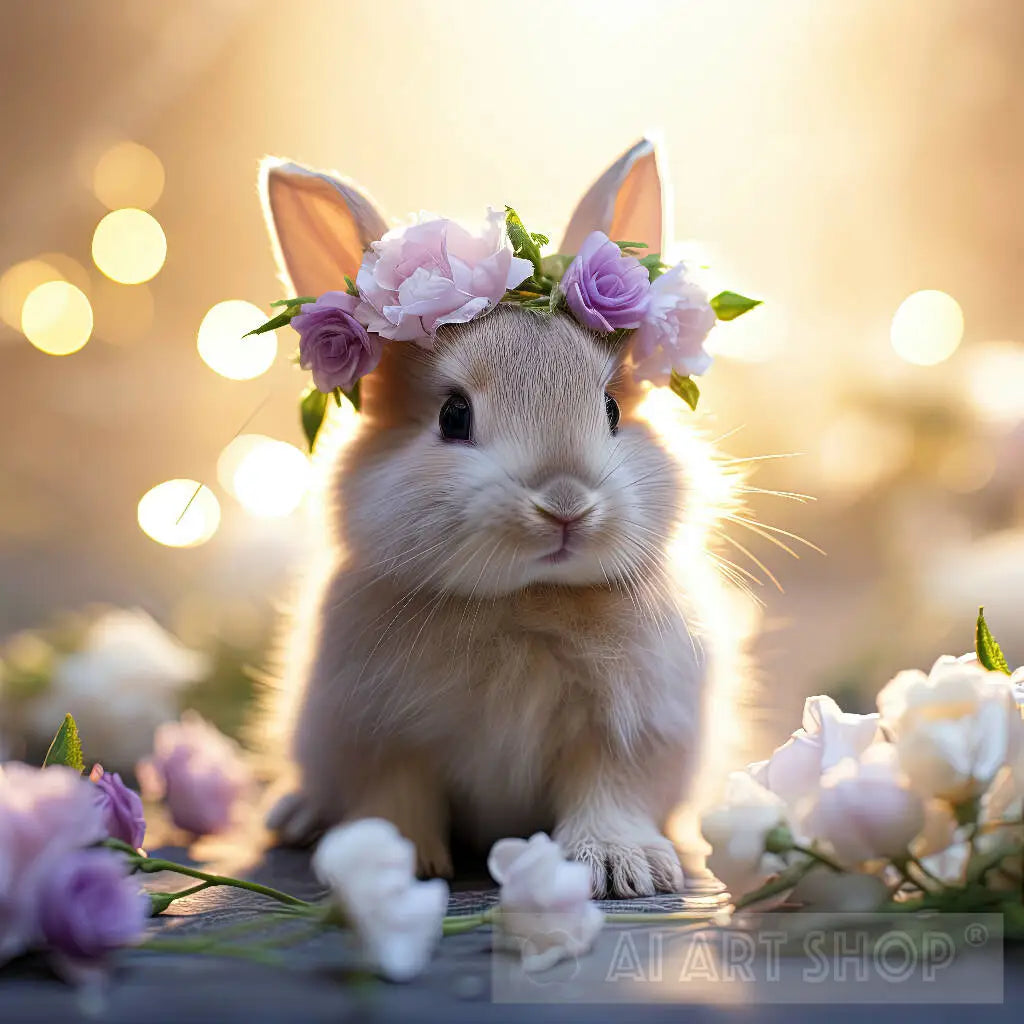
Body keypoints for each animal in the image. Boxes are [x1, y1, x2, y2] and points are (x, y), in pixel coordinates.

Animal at [258, 140, 754, 898]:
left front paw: (619, 867)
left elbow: (609, 789)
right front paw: (384, 865)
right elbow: (395, 797)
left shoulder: (629, 733)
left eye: (612, 408)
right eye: (452, 416)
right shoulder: (377, 734)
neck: (522, 603)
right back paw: (298, 816)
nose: (565, 504)